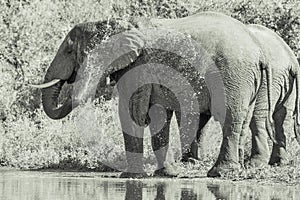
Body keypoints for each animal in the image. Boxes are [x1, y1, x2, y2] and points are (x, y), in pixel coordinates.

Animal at [29, 12, 276, 178]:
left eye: (70, 51)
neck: (117, 22)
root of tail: (259, 51)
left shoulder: (138, 66)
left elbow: (131, 114)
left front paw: (130, 176)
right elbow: (158, 117)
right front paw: (166, 174)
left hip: (233, 76)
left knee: (229, 118)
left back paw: (219, 173)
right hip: (247, 81)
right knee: (242, 120)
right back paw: (234, 171)